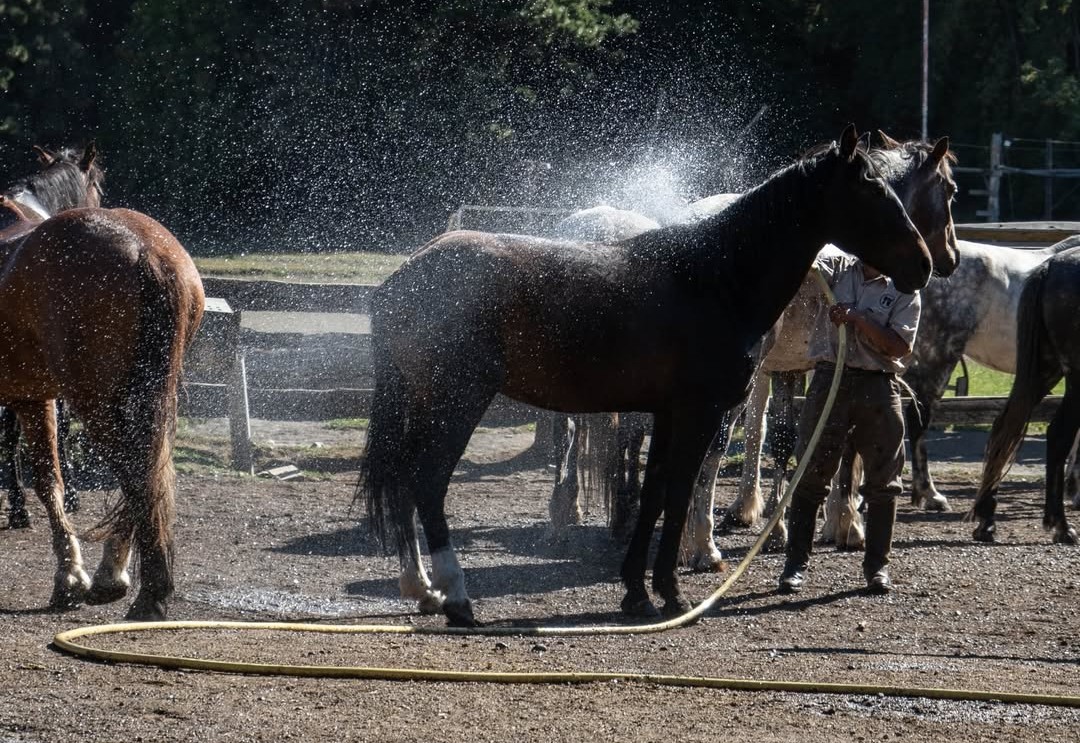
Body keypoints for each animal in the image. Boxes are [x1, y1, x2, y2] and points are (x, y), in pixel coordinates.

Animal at [0, 188, 204, 619]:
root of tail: (146, 249)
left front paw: (68, 577)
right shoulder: (33, 397)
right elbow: (50, 480)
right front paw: (70, 575)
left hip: (96, 403)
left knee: (137, 474)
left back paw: (147, 591)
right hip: (148, 400)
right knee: (148, 471)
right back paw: (117, 574)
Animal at [359, 125, 933, 626]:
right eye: (871, 187)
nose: (925, 264)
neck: (718, 277)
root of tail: (403, 280)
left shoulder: (667, 413)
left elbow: (654, 492)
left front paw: (636, 591)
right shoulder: (699, 413)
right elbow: (677, 494)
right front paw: (673, 592)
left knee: (404, 484)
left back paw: (423, 589)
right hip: (456, 402)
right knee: (427, 483)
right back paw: (456, 596)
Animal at [967, 245, 1080, 545]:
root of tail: (1052, 266)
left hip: (1045, 368)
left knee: (1004, 427)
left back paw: (987, 520)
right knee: (1059, 434)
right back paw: (1061, 525)